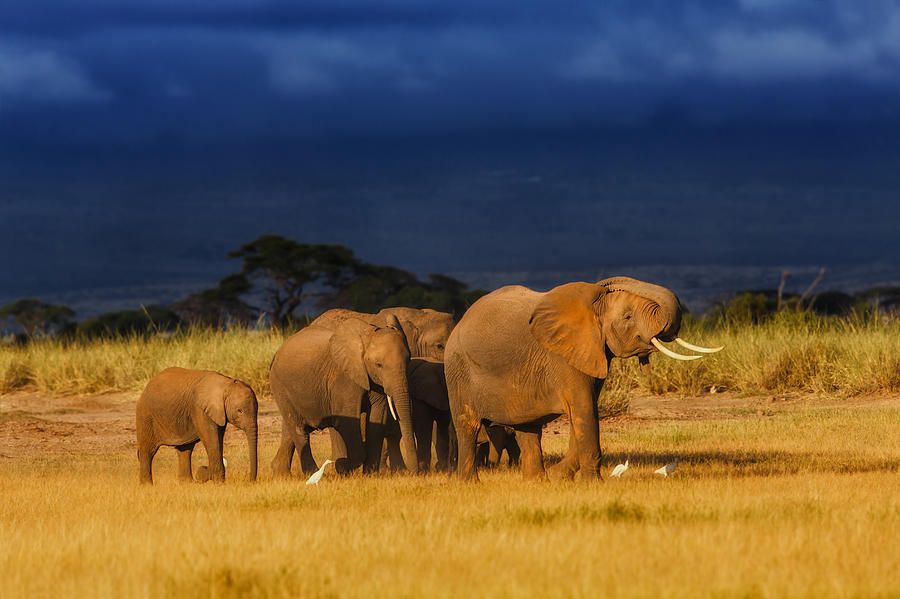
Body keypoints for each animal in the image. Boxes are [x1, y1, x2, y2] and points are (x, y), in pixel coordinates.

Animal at [270, 316, 418, 476]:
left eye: (408, 360)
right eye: (379, 364)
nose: (413, 472)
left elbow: (377, 418)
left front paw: (369, 475)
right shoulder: (344, 379)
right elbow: (347, 420)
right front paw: (341, 465)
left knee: (290, 427)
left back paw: (280, 473)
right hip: (279, 385)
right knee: (299, 428)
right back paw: (313, 473)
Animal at [446, 278, 720, 482]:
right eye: (628, 317)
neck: (592, 308)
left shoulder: (593, 351)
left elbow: (584, 411)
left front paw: (560, 476)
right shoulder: (563, 357)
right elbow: (584, 409)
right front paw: (591, 483)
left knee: (527, 427)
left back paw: (538, 481)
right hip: (458, 372)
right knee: (467, 426)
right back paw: (470, 484)